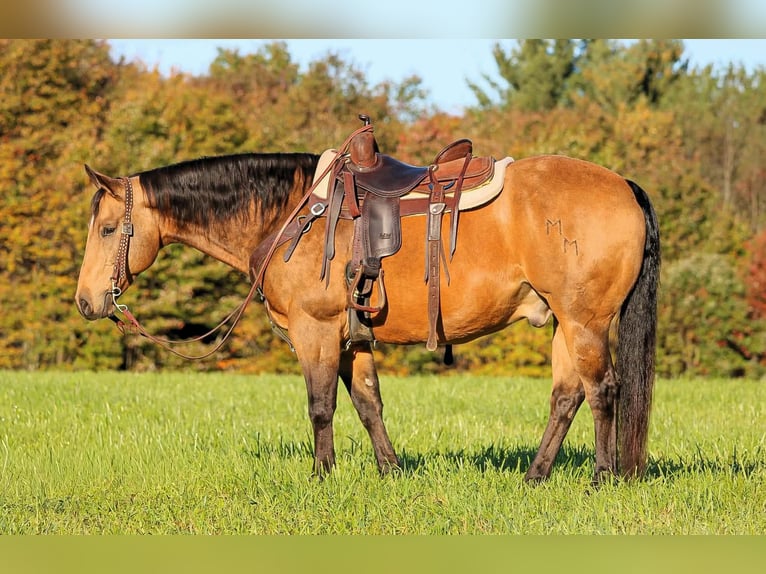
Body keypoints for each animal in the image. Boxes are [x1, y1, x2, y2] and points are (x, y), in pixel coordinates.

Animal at [75, 137, 659, 484]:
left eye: (107, 229)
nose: (86, 301)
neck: (289, 215)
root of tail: (625, 186)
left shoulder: (315, 333)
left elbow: (321, 406)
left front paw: (321, 477)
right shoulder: (351, 339)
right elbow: (368, 403)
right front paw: (391, 470)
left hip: (585, 322)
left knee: (603, 391)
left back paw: (603, 478)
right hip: (564, 321)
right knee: (566, 397)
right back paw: (535, 476)